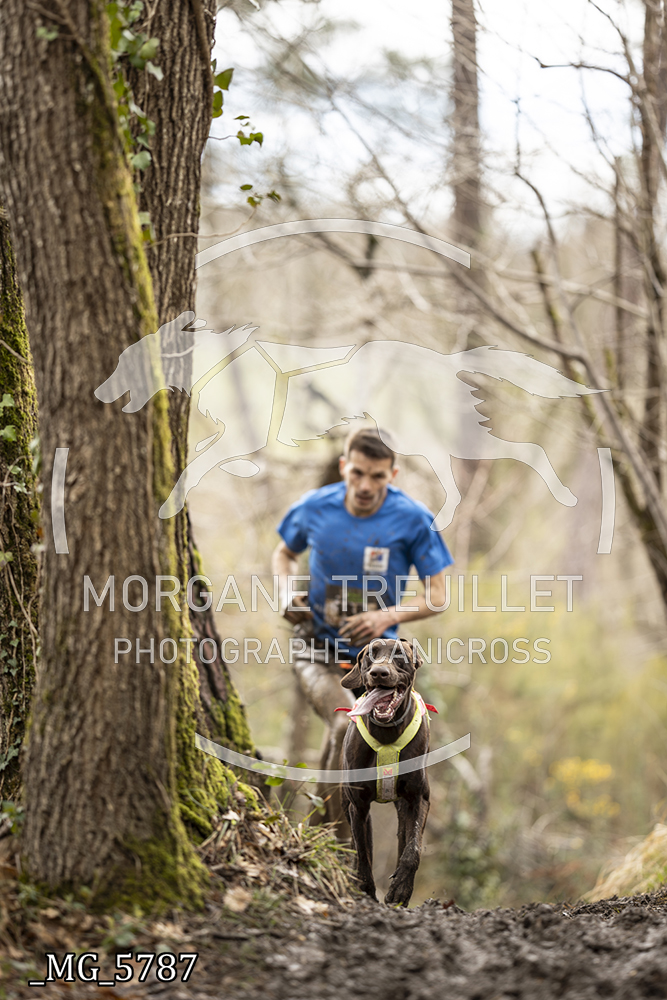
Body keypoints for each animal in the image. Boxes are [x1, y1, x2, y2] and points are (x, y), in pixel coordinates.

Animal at [340, 637, 430, 906]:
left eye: (399, 654)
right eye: (370, 655)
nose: (379, 672)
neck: (387, 732)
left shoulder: (419, 798)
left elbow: (413, 850)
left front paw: (401, 890)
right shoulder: (358, 806)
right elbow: (363, 854)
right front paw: (365, 890)